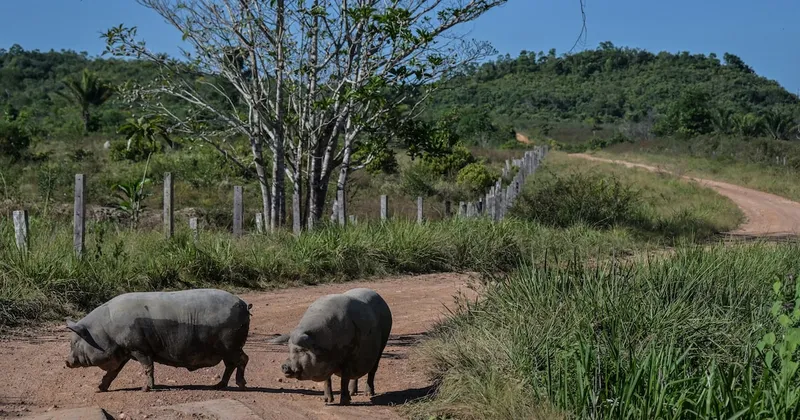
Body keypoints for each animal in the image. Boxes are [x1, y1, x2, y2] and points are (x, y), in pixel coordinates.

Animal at [64, 288, 251, 392]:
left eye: (75, 342)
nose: (66, 361)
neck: (106, 330)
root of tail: (244, 304)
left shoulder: (138, 347)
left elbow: (148, 367)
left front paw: (145, 389)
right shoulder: (124, 351)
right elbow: (112, 372)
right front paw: (99, 389)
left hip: (231, 344)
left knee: (243, 359)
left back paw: (241, 386)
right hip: (227, 349)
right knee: (230, 364)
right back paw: (219, 385)